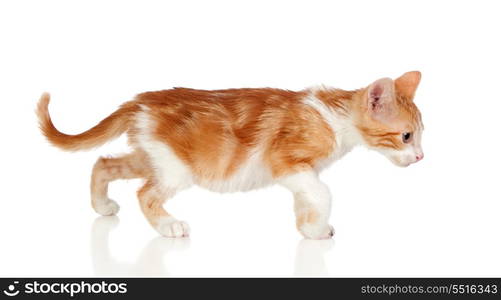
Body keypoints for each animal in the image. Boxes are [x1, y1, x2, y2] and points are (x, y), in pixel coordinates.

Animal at [37, 71, 424, 239]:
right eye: (406, 136)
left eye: (421, 135)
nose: (421, 157)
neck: (334, 116)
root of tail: (140, 101)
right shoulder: (287, 163)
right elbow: (323, 193)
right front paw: (315, 226)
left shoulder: (302, 173)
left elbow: (307, 199)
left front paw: (309, 229)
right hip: (176, 170)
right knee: (145, 193)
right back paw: (168, 226)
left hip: (154, 157)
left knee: (103, 163)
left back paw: (102, 206)